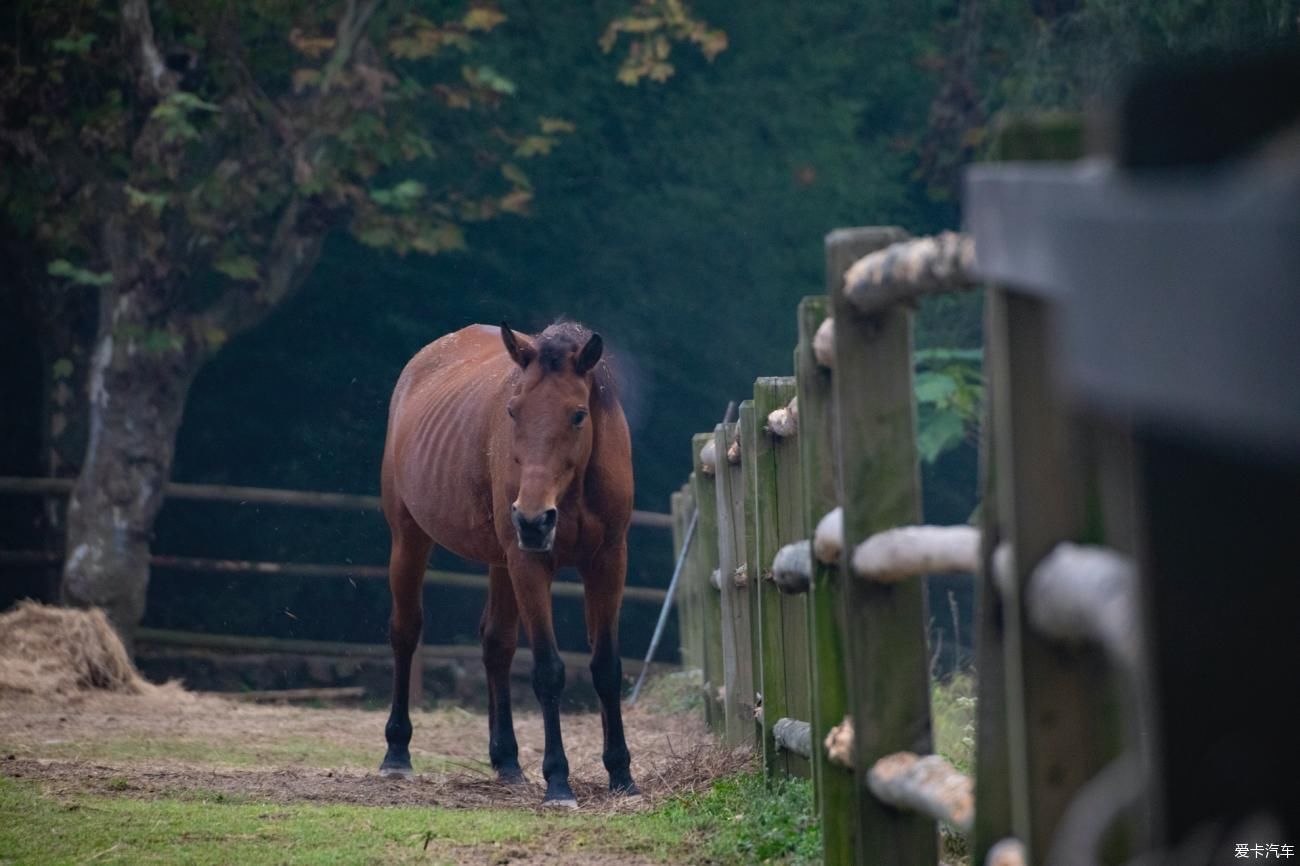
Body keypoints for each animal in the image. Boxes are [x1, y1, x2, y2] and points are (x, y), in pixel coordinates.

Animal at [377, 319, 639, 806]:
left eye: (579, 414)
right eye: (514, 411)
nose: (533, 520)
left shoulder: (609, 561)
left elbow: (606, 667)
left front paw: (622, 775)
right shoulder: (529, 564)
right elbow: (548, 670)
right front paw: (558, 781)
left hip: (501, 561)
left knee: (496, 643)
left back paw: (507, 761)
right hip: (410, 538)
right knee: (405, 632)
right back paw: (397, 754)